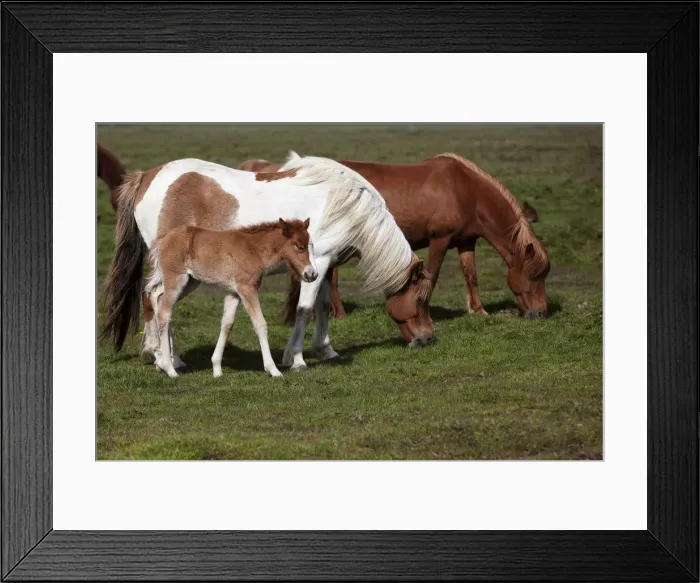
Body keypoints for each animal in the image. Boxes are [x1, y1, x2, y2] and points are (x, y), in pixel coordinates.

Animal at [145, 218, 318, 378]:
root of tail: (164, 238)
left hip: (190, 282)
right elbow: (260, 324)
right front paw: (273, 370)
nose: (313, 274)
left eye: (311, 246)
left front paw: (217, 369)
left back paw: (162, 363)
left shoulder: (234, 293)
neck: (254, 249)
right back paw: (170, 368)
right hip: (176, 280)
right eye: (299, 247)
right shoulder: (247, 288)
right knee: (164, 313)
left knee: (156, 296)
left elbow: (227, 324)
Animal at [241, 152, 549, 322]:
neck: (466, 190)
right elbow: (432, 276)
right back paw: (336, 314)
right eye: (535, 276)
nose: (541, 313)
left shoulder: (465, 242)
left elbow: (470, 276)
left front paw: (478, 310)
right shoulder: (439, 241)